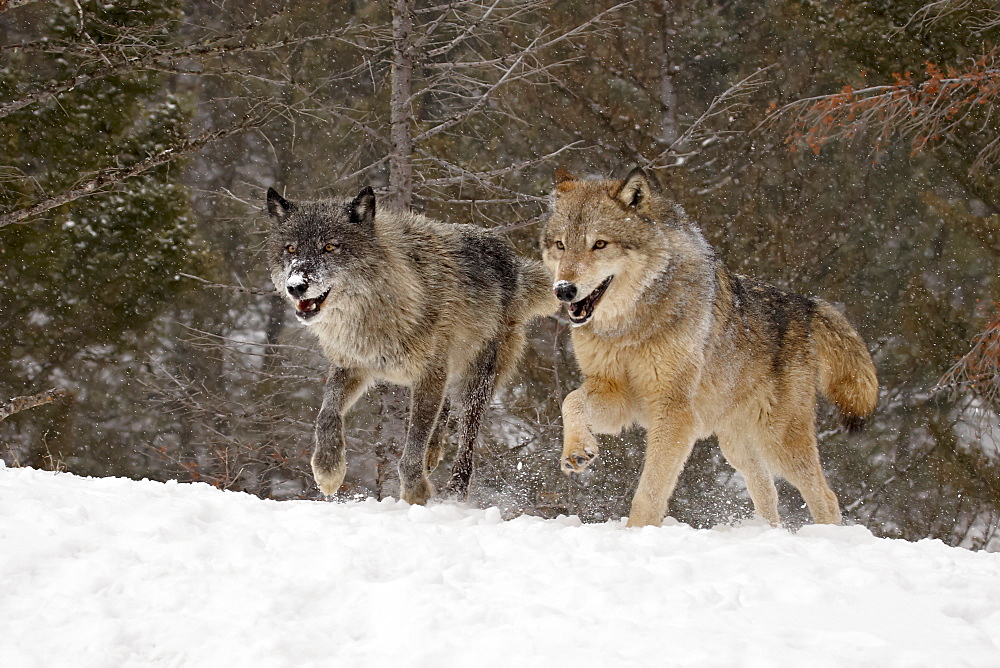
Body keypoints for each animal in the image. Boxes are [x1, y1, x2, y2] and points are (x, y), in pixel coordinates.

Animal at [266, 185, 556, 504]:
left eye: (329, 247)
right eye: (291, 249)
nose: (296, 286)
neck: (376, 315)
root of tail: (515, 264)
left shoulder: (429, 375)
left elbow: (413, 446)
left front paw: (416, 493)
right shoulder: (352, 366)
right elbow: (326, 416)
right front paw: (328, 470)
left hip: (476, 381)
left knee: (467, 436)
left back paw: (456, 489)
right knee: (444, 411)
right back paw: (434, 452)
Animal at [544, 168, 880, 528]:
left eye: (600, 244)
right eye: (561, 245)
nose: (564, 289)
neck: (628, 328)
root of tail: (806, 303)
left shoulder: (674, 411)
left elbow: (650, 490)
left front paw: (638, 532)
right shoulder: (615, 393)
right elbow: (571, 401)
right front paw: (576, 451)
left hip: (778, 441)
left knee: (825, 496)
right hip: (737, 447)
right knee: (768, 492)